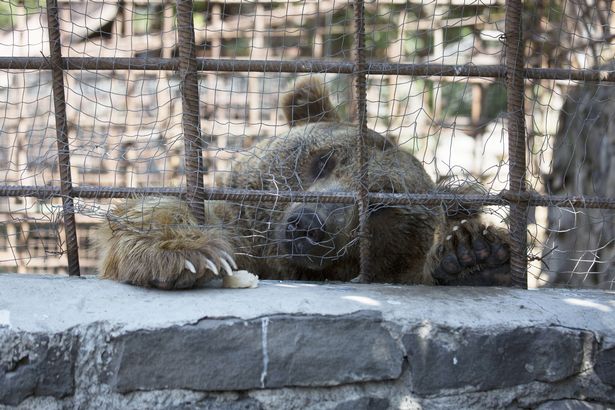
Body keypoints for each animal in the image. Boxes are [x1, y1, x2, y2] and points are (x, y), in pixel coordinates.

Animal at [96, 77, 512, 288]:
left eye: (381, 205)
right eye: (322, 161)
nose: (310, 224)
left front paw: (476, 255)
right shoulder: (243, 227)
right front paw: (189, 251)